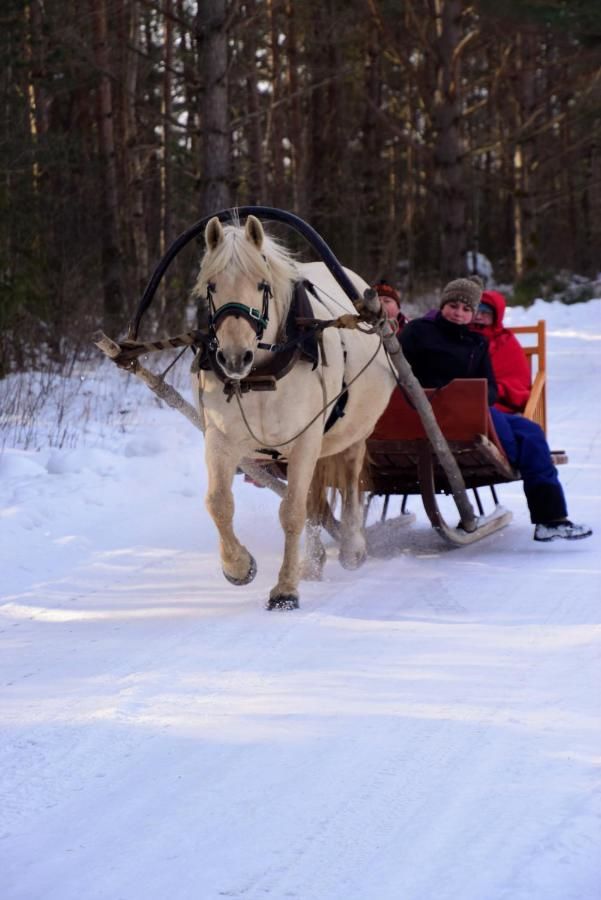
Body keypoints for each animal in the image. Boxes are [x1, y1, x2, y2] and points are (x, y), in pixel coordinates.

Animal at [192, 216, 396, 612]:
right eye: (211, 286)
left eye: (262, 284)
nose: (234, 358)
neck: (260, 377)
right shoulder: (221, 438)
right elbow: (218, 504)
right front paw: (239, 566)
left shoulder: (305, 439)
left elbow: (291, 513)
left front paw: (285, 590)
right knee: (316, 502)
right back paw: (313, 563)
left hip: (351, 434)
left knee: (349, 481)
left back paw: (351, 546)